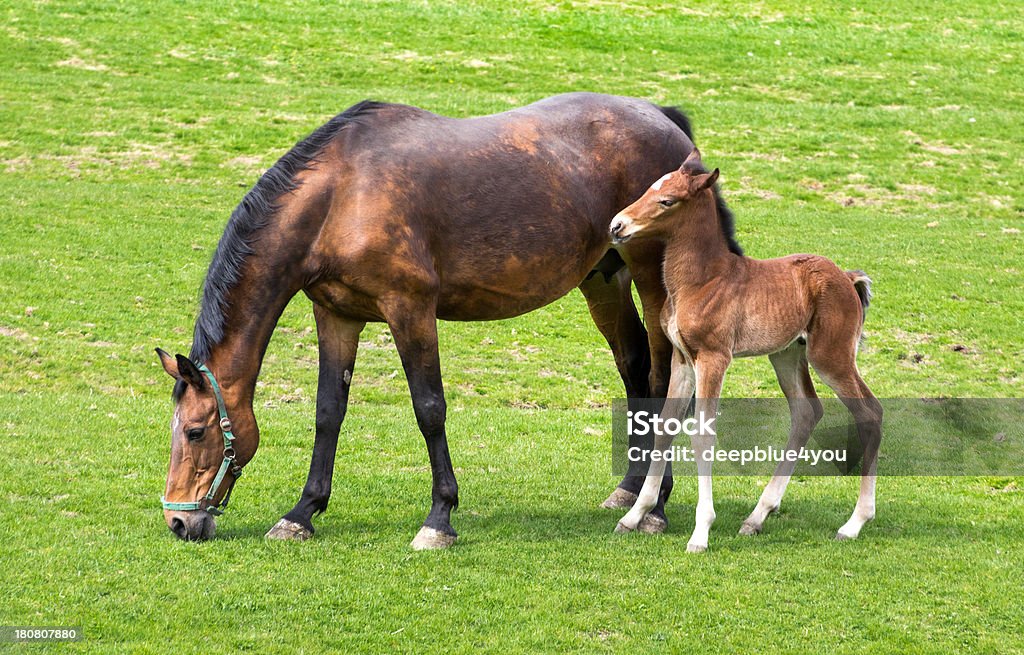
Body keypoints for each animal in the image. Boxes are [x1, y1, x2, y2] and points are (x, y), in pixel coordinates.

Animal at [606, 149, 880, 552]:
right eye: (648, 188)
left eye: (667, 200)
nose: (616, 226)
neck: (701, 281)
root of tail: (847, 278)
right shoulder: (682, 359)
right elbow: (666, 426)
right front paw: (633, 516)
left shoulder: (713, 358)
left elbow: (703, 434)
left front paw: (701, 533)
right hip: (786, 354)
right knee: (806, 412)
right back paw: (757, 516)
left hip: (831, 357)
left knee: (870, 413)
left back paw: (854, 523)